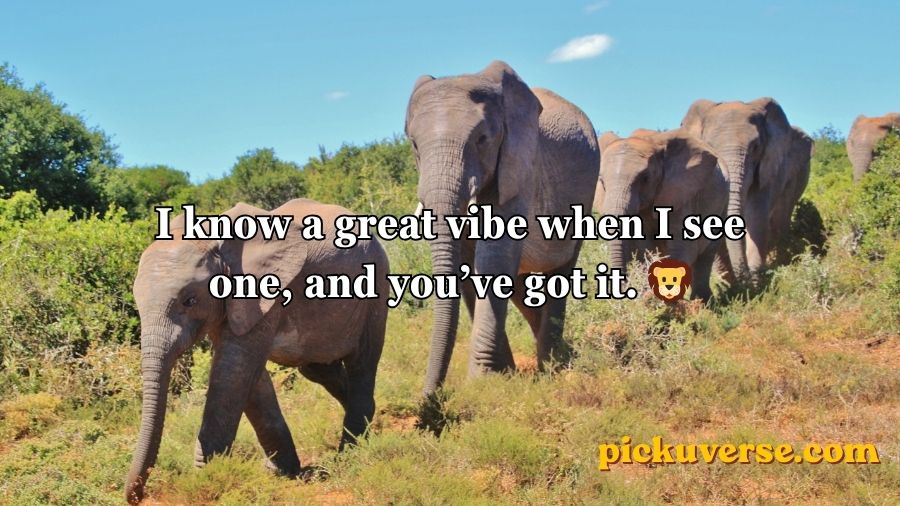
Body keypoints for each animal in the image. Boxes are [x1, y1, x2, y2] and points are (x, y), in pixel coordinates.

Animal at [124, 199, 388, 504]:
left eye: (190, 300)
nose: (136, 496)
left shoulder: (262, 292)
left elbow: (233, 373)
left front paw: (206, 479)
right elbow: (250, 380)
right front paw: (280, 471)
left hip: (376, 286)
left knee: (362, 361)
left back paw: (349, 452)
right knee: (317, 368)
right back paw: (371, 424)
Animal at [405, 60, 599, 395]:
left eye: (482, 139)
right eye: (415, 145)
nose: (429, 398)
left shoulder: (518, 166)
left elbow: (493, 258)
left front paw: (481, 382)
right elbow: (467, 265)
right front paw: (502, 375)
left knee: (560, 270)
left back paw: (553, 364)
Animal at [594, 128, 728, 301]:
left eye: (645, 178)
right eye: (602, 182)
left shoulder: (682, 192)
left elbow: (683, 246)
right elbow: (645, 247)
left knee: (706, 254)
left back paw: (702, 301)